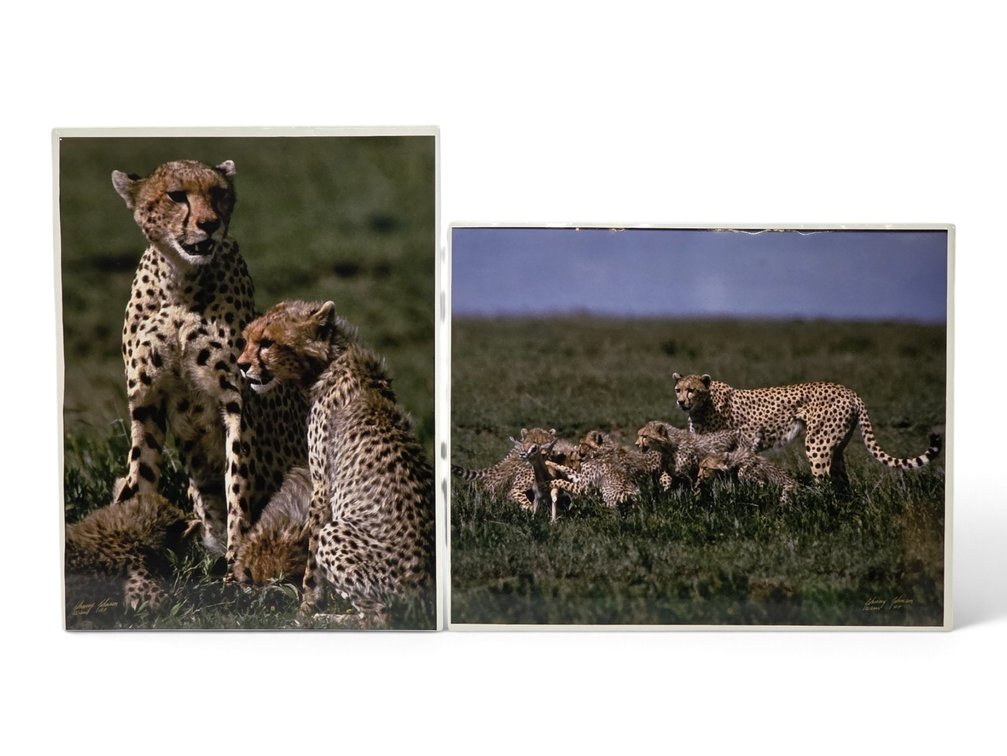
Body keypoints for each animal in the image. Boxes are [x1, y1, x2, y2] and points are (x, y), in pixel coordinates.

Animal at [111, 159, 308, 563]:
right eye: (175, 195)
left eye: (218, 193)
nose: (209, 223)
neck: (180, 282)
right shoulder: (145, 399)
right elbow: (140, 474)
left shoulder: (237, 398)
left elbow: (238, 483)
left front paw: (236, 561)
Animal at [237, 300, 435, 627]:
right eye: (247, 340)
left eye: (267, 343)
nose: (241, 365)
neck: (331, 361)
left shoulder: (321, 487)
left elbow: (311, 565)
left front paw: (306, 609)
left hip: (337, 534)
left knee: (378, 619)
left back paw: (329, 619)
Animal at [672, 372, 942, 484]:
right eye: (678, 389)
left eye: (691, 390)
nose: (681, 402)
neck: (704, 404)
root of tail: (850, 391)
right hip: (836, 446)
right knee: (842, 481)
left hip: (817, 443)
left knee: (824, 480)